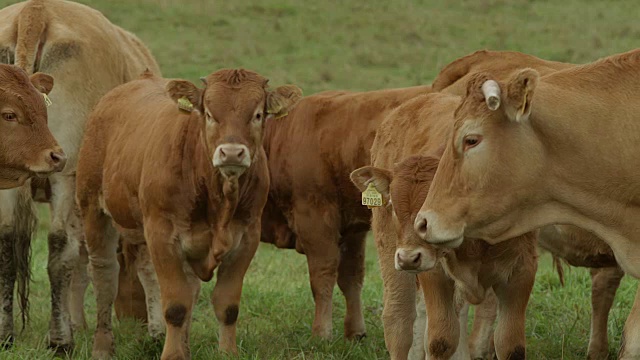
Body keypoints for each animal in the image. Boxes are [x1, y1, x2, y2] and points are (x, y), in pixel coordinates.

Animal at [0, 0, 161, 352]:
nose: (135, 320)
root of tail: (37, 10)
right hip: (66, 172)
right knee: (59, 248)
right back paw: (59, 339)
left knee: (5, 243)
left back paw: (6, 334)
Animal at [75, 68, 302, 360]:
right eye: (209, 114)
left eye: (258, 114)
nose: (231, 153)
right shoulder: (161, 235)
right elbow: (176, 305)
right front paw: (173, 354)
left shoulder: (247, 238)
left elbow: (227, 305)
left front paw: (226, 352)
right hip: (92, 207)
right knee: (104, 275)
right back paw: (102, 346)